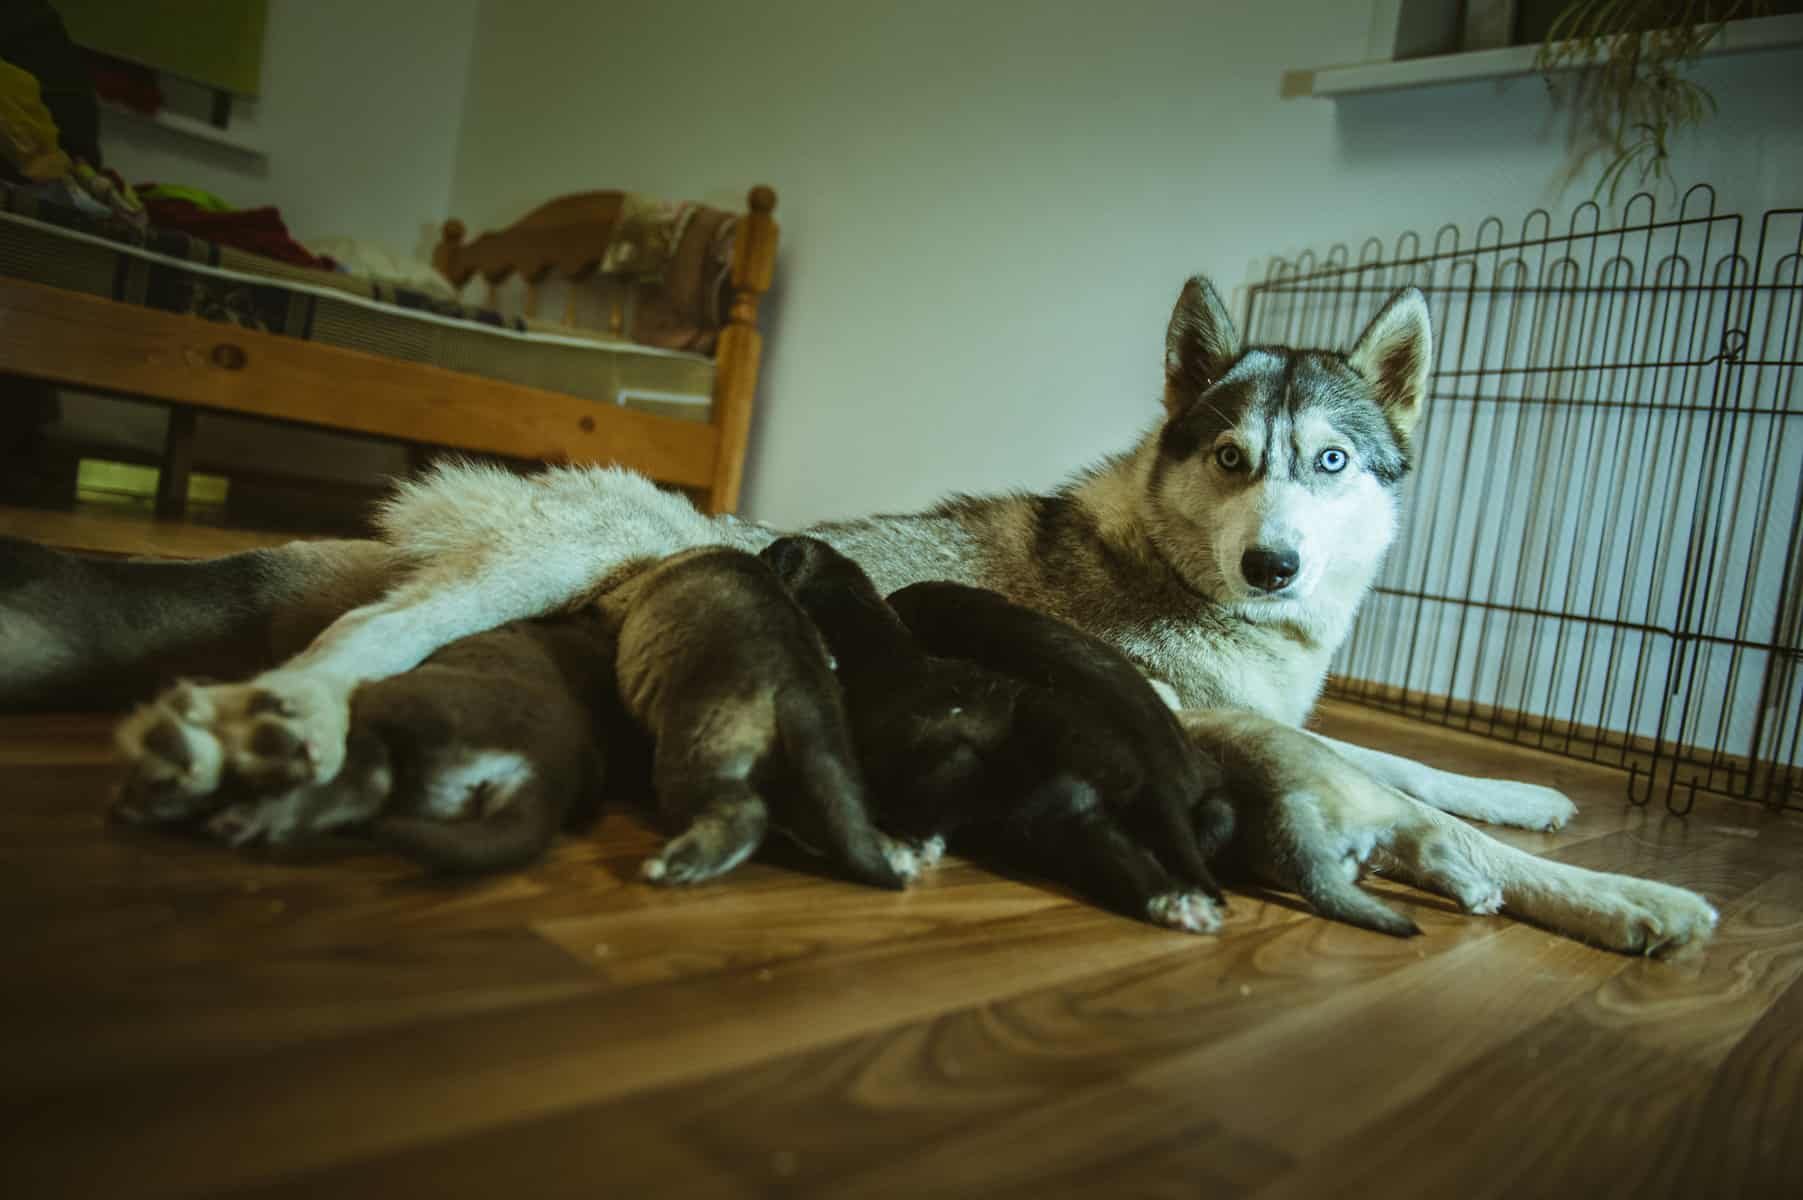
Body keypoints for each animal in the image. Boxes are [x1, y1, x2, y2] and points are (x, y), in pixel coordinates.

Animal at [598, 544, 901, 886]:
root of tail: (798, 679)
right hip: (814, 765)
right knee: (836, 819)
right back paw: (891, 853)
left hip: (694, 752)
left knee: (747, 813)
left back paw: (675, 864)